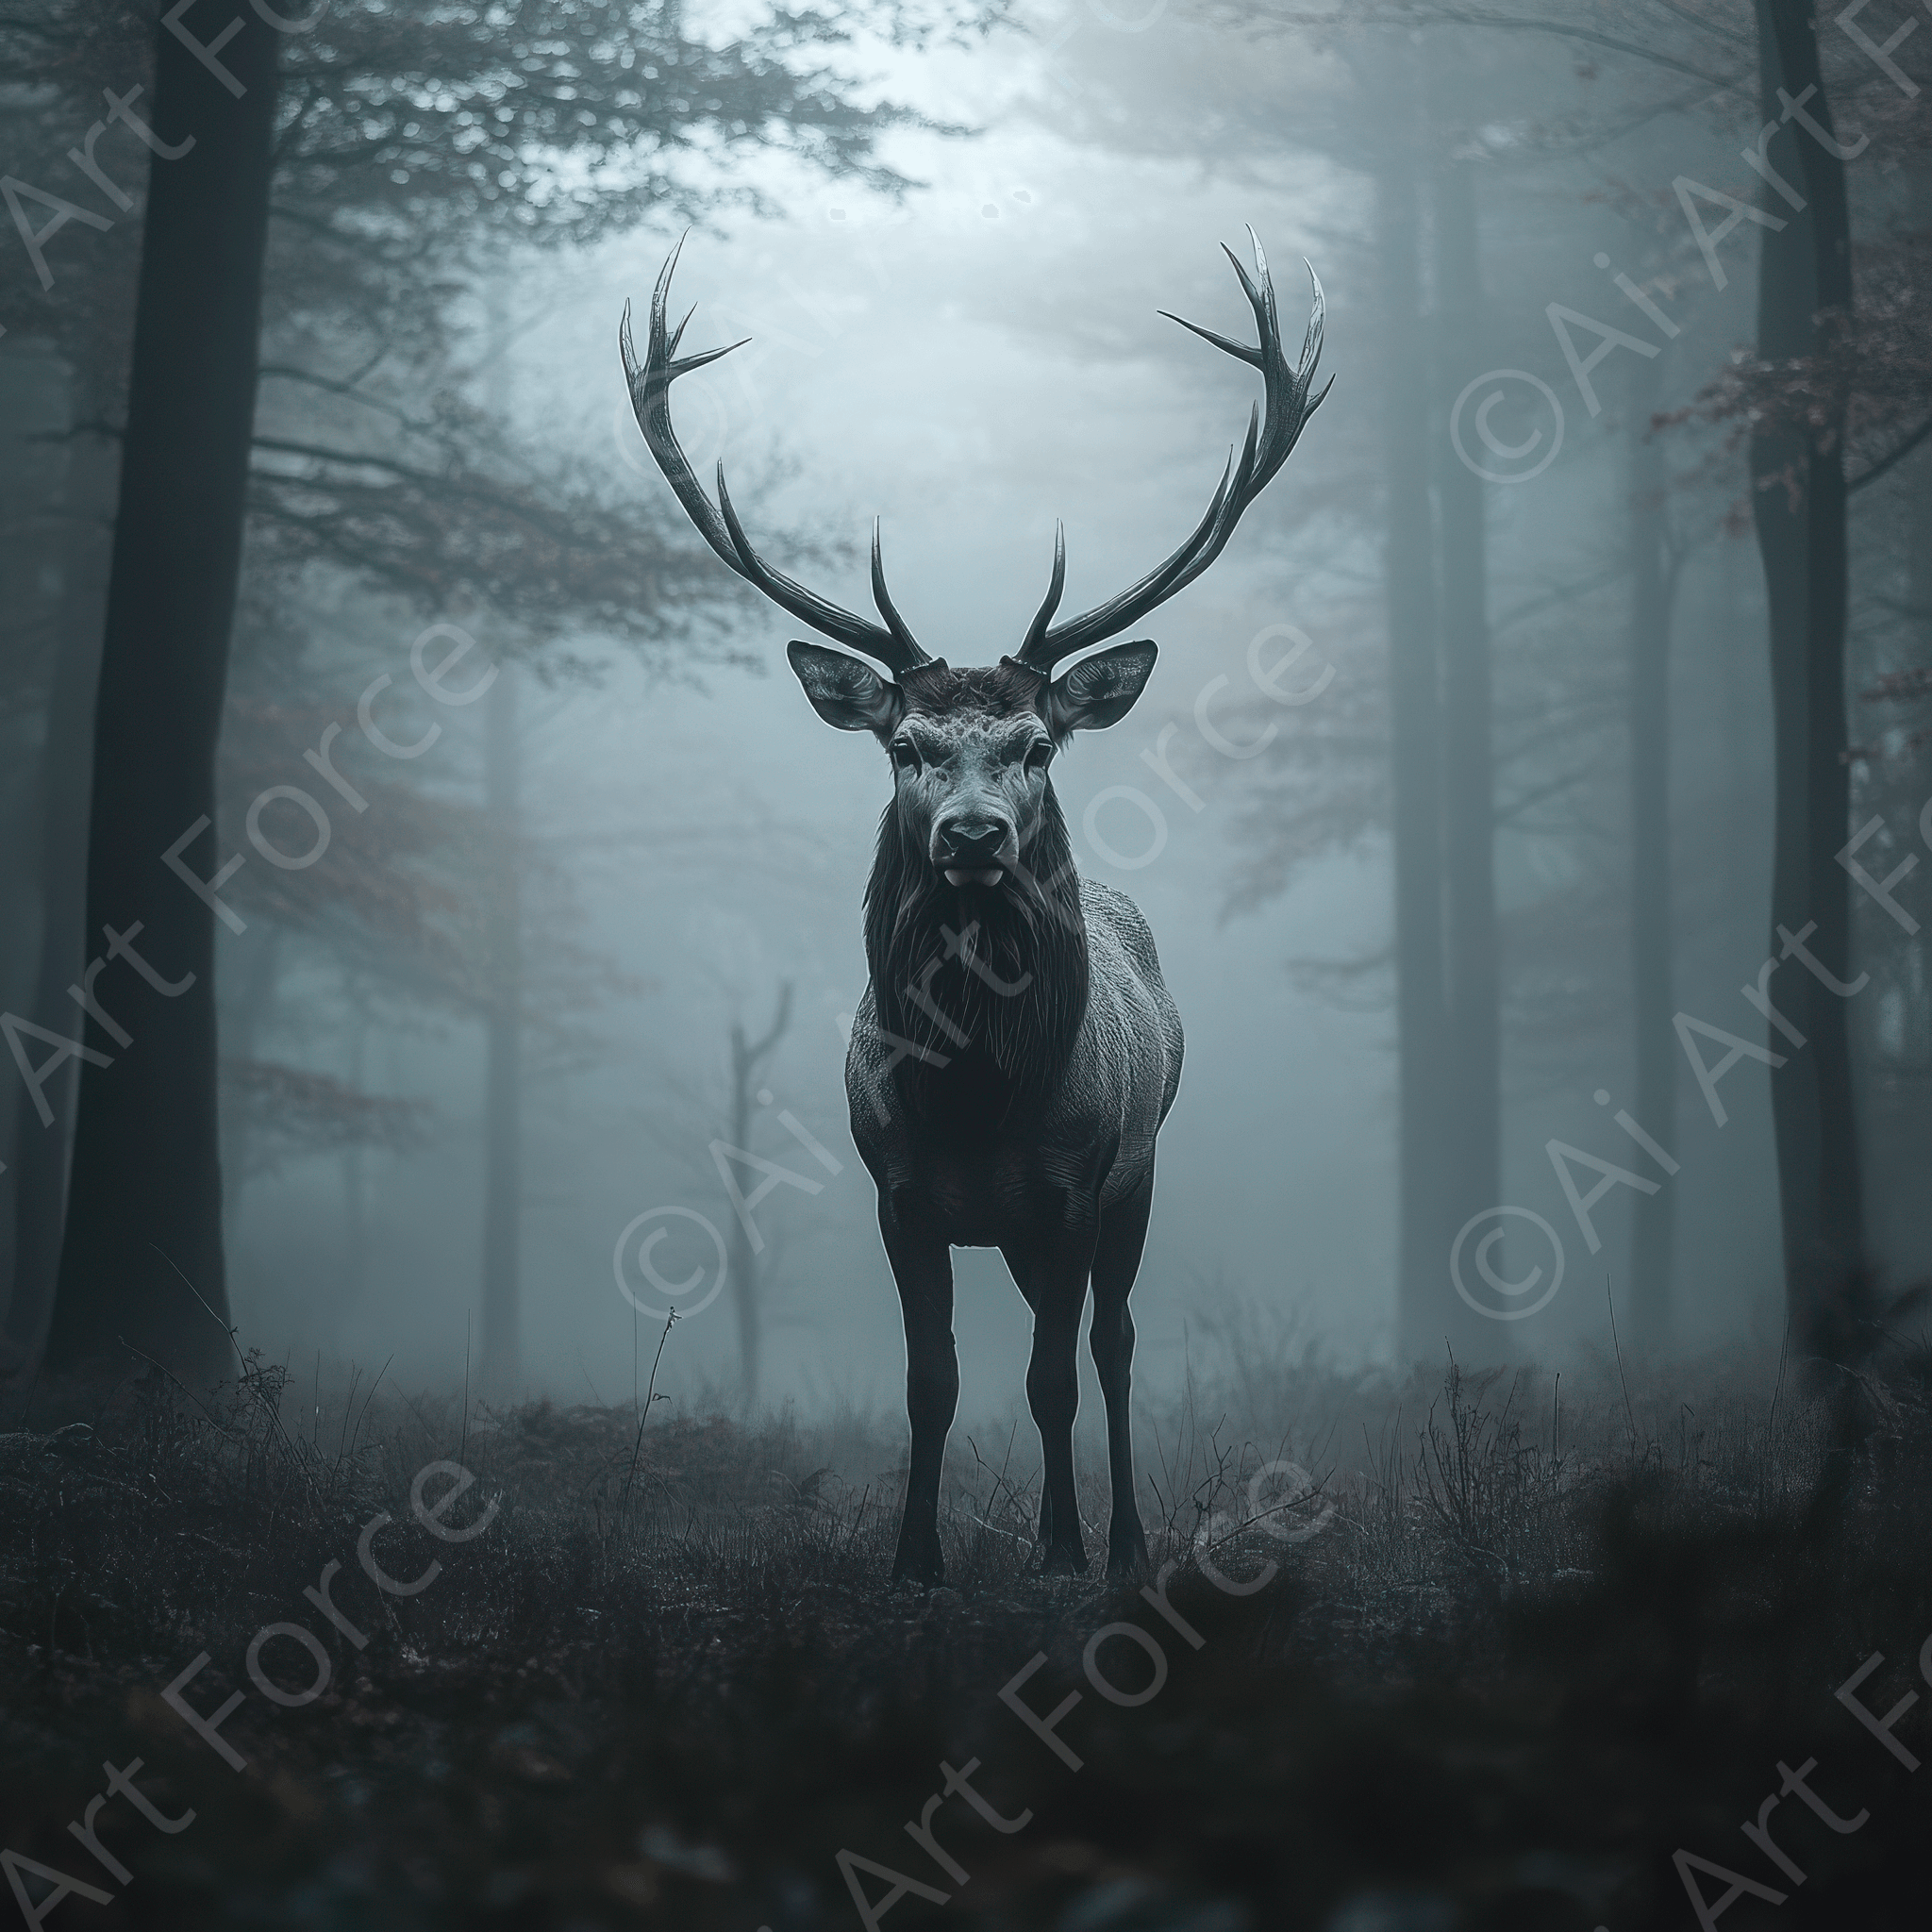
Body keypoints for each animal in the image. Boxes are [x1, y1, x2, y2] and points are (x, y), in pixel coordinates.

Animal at [621, 232, 1330, 1584]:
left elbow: (1056, 1376)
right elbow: (931, 1383)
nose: (971, 836)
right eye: (904, 744)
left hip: (1133, 1178)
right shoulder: (896, 1190)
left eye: (1034, 745)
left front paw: (1062, 1548)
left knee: (1109, 1349)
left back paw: (1119, 1542)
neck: (975, 1096)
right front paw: (915, 1556)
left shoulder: (1075, 1182)